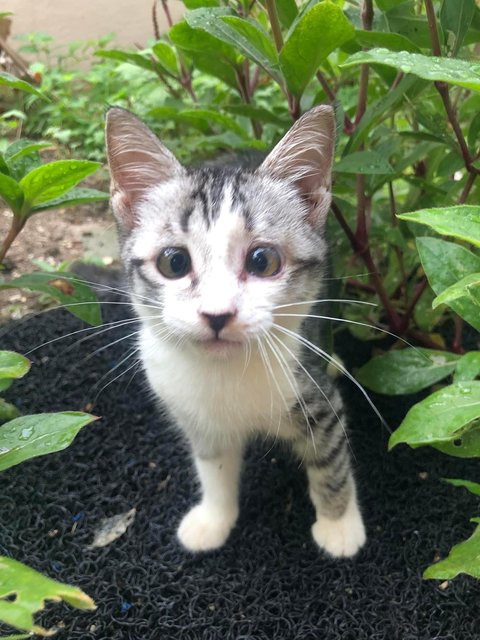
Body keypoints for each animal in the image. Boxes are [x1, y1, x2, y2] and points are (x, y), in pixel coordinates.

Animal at [106, 105, 368, 556]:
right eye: (174, 262)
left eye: (263, 261)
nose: (217, 314)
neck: (225, 374)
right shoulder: (196, 415)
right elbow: (213, 465)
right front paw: (214, 518)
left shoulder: (318, 400)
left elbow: (329, 462)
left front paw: (338, 526)